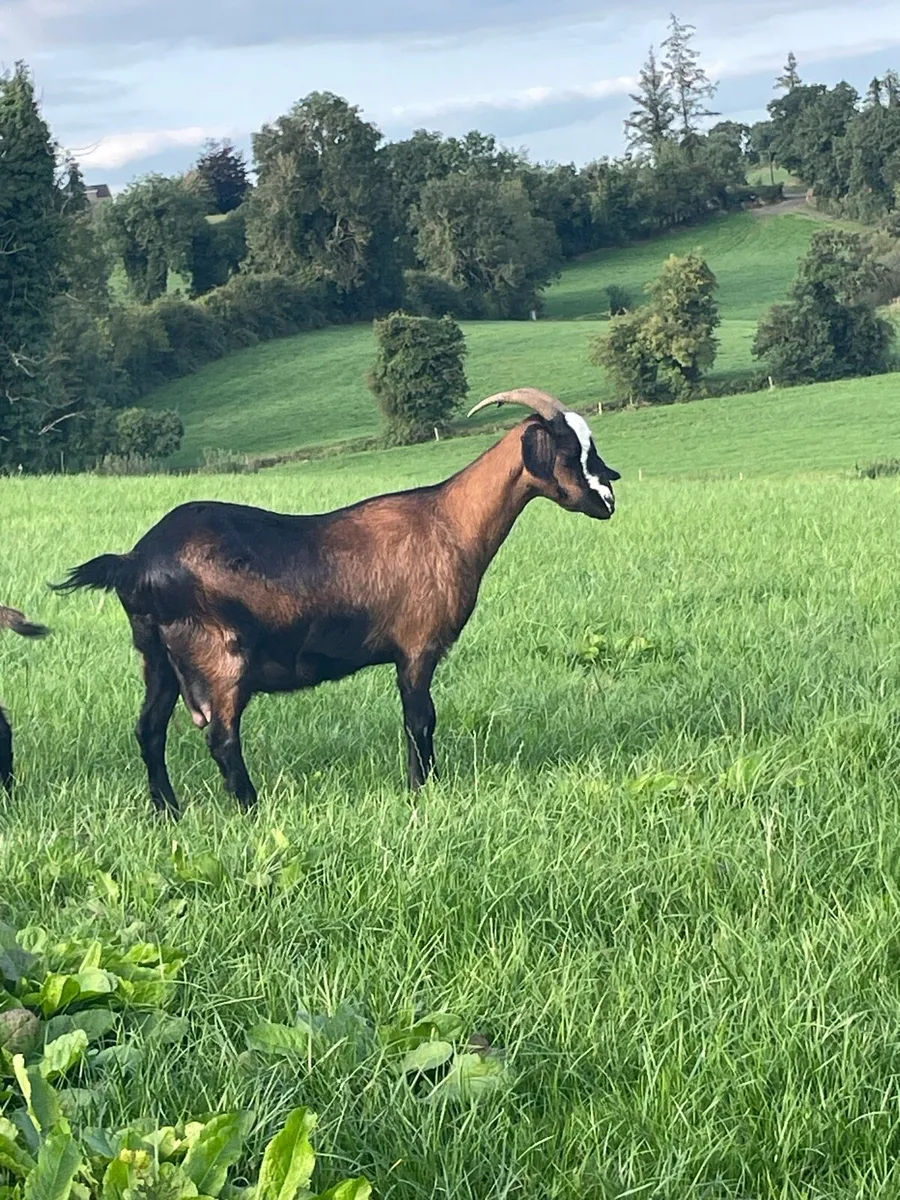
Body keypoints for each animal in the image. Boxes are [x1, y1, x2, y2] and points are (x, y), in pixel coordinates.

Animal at [51, 388, 621, 817]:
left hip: (155, 657)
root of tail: (135, 560)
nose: (609, 501)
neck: (449, 522)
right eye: (569, 452)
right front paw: (423, 790)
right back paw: (252, 809)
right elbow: (420, 720)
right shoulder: (417, 647)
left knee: (148, 731)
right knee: (222, 738)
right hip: (220, 657)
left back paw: (169, 812)